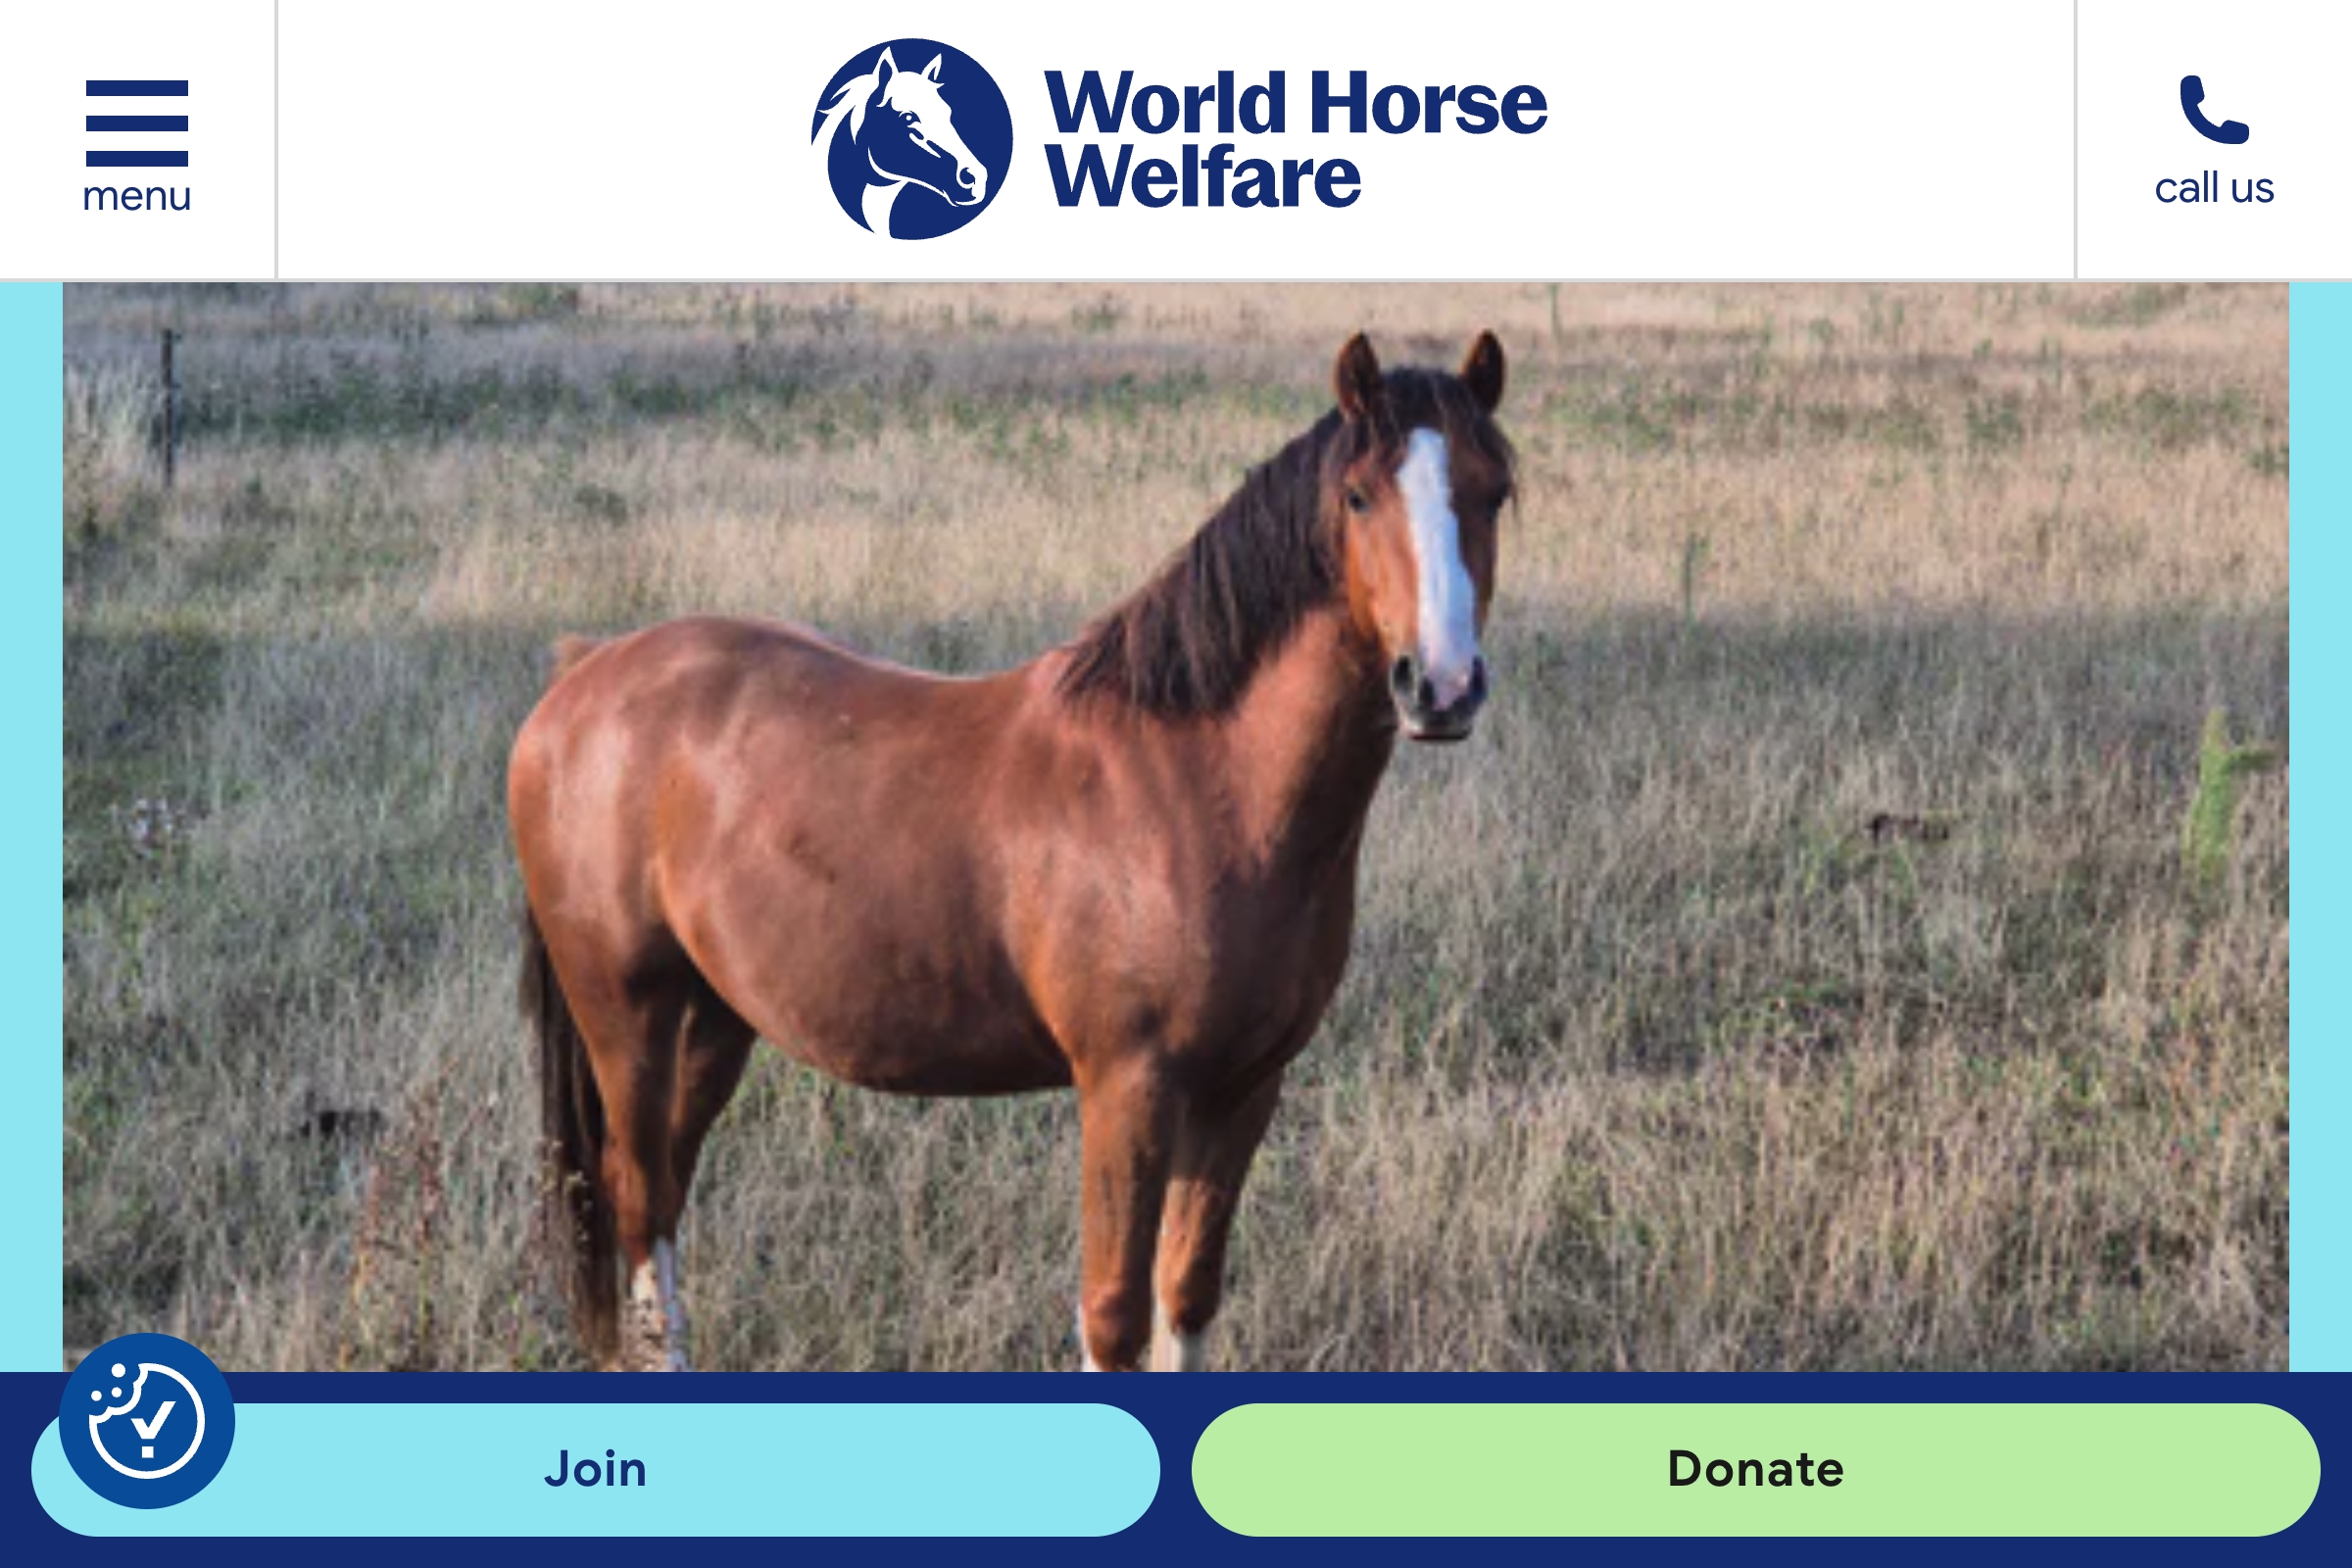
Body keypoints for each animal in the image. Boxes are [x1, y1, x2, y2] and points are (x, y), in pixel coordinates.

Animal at [510, 332, 1513, 1371]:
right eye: (1357, 495)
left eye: (1496, 491)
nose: (1441, 687)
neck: (1196, 785)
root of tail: (586, 672)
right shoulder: (1127, 1088)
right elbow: (1113, 1315)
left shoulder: (1243, 1089)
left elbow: (1186, 1299)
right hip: (624, 1013)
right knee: (637, 1198)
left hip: (714, 1018)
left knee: (664, 1193)